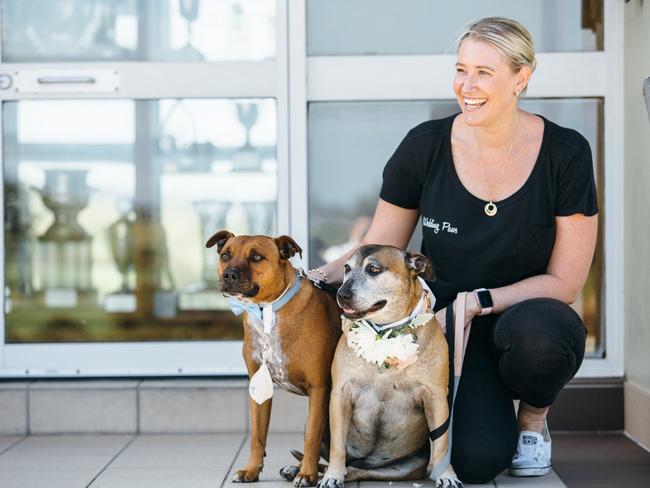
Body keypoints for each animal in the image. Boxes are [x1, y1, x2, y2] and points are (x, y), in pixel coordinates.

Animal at [206, 231, 340, 486]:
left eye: (257, 257)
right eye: (225, 255)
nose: (229, 274)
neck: (266, 311)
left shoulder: (319, 388)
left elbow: (311, 437)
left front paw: (306, 474)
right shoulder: (258, 386)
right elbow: (257, 435)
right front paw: (251, 470)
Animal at [316, 246, 458, 488]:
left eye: (374, 269)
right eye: (347, 268)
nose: (341, 294)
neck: (385, 332)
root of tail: (367, 460)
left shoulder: (436, 398)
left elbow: (442, 444)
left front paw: (447, 475)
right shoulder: (340, 395)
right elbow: (337, 446)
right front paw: (331, 476)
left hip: (402, 468)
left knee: (355, 470)